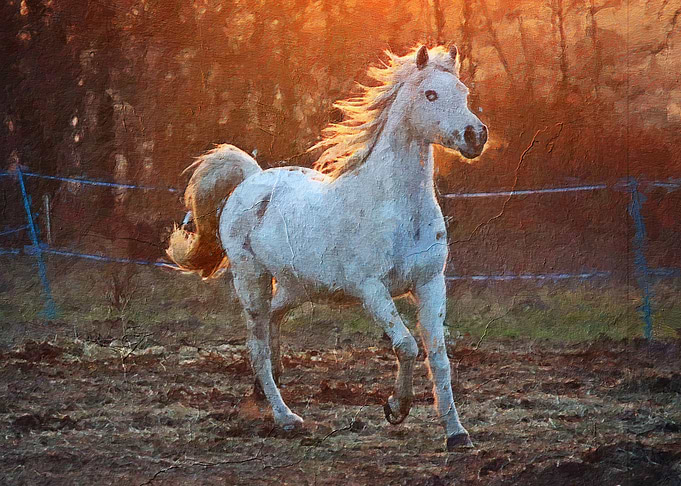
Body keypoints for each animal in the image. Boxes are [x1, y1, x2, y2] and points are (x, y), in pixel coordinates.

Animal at [167, 44, 488, 451]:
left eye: (463, 92)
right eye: (430, 94)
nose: (476, 135)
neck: (398, 206)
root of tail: (252, 179)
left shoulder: (430, 284)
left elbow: (439, 356)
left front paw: (457, 434)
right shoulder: (371, 288)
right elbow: (406, 345)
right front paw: (396, 408)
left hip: (297, 285)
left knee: (272, 320)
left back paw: (264, 389)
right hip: (251, 278)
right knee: (256, 344)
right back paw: (286, 417)